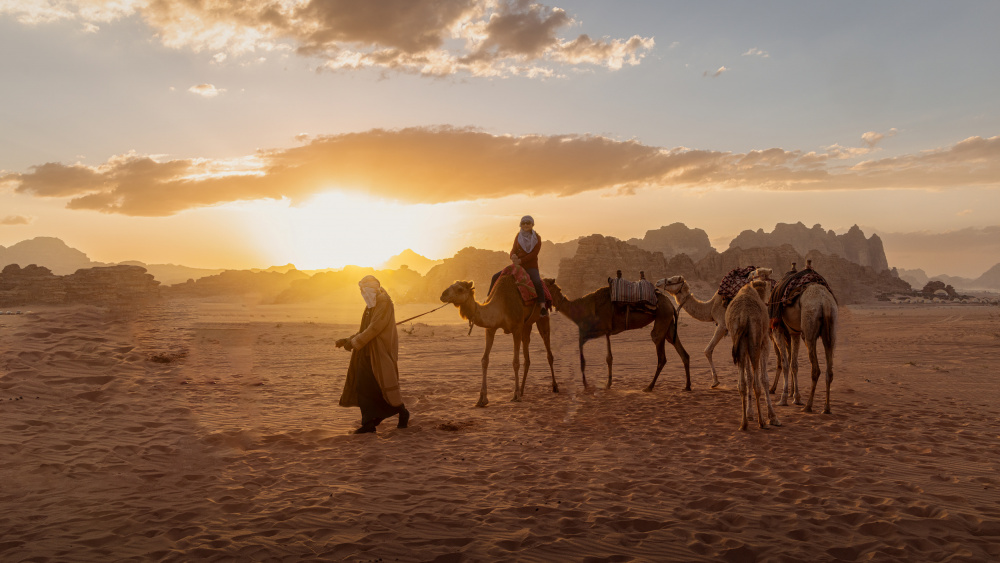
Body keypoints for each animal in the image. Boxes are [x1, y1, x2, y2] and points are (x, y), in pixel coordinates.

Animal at [442, 276, 560, 408]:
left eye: (460, 289)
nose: (443, 295)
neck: (501, 305)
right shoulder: (490, 328)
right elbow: (484, 360)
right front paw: (482, 399)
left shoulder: (516, 328)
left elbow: (515, 362)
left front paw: (516, 396)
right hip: (527, 324)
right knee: (527, 356)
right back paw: (522, 390)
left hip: (542, 318)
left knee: (548, 349)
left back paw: (554, 386)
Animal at [544, 278, 692, 392]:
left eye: (545, 285)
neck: (582, 309)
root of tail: (671, 304)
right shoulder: (598, 333)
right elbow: (604, 358)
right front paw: (604, 384)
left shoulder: (601, 330)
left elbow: (592, 354)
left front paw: (591, 385)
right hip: (669, 324)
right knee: (683, 352)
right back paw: (687, 386)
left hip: (662, 317)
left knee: (661, 355)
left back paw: (649, 387)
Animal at [728, 280, 780, 430]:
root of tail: (743, 315)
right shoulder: (765, 343)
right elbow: (764, 379)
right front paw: (773, 417)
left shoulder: (743, 347)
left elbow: (748, 377)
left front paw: (749, 413)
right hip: (755, 340)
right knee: (757, 383)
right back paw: (762, 422)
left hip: (738, 339)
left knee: (741, 383)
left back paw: (743, 423)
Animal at [768, 282, 840, 414]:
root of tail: (825, 302)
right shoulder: (794, 333)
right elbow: (794, 364)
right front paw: (795, 397)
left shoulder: (777, 329)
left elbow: (785, 364)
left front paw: (783, 398)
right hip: (832, 328)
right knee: (829, 370)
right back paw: (826, 408)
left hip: (809, 326)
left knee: (815, 370)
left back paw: (808, 406)